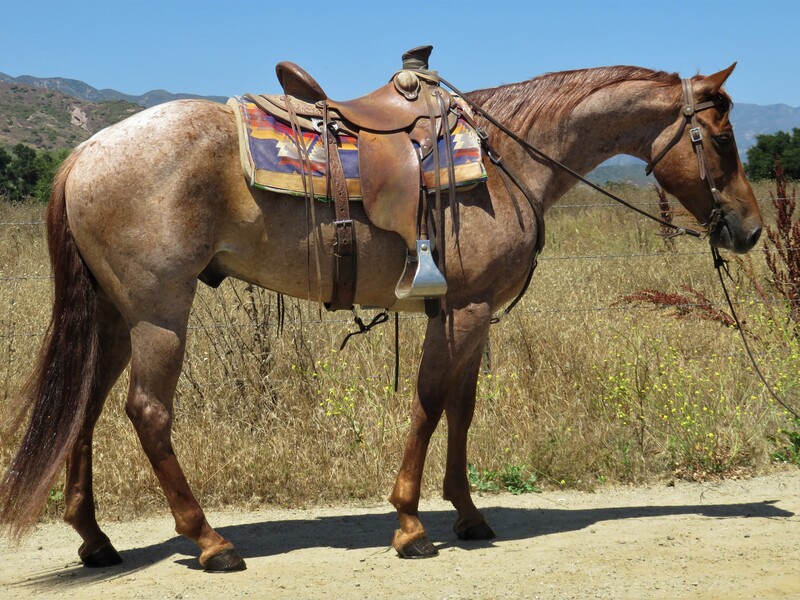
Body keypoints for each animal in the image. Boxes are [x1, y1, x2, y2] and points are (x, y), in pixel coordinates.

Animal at [0, 62, 764, 572]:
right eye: (723, 138)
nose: (751, 229)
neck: (507, 159)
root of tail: (86, 151)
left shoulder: (461, 312)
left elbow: (462, 408)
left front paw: (468, 514)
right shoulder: (463, 309)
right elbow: (428, 404)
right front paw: (409, 525)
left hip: (113, 316)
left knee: (85, 407)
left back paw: (96, 539)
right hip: (159, 313)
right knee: (147, 413)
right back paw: (210, 540)